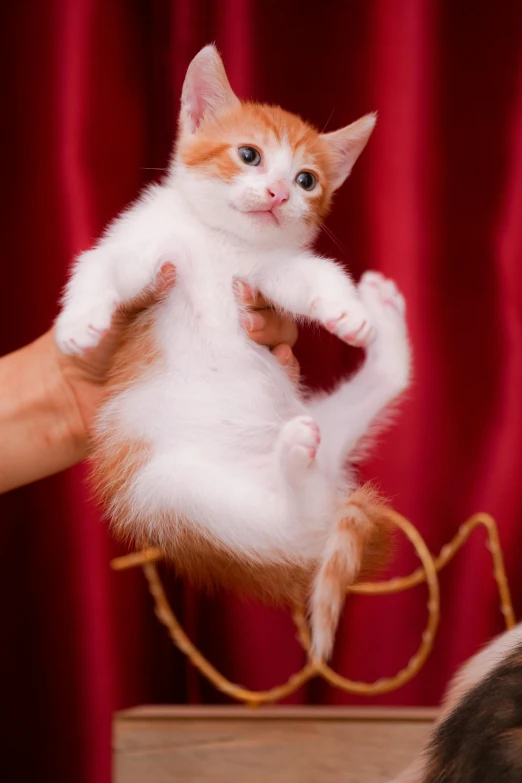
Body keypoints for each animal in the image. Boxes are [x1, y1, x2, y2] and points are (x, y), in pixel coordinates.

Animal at [53, 44, 410, 660]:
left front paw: (348, 311)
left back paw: (382, 331)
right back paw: (294, 458)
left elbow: (315, 275)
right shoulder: (146, 250)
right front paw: (81, 321)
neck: (224, 243)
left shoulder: (271, 272)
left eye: (307, 179)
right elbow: (99, 266)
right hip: (174, 493)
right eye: (249, 155)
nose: (278, 193)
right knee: (286, 520)